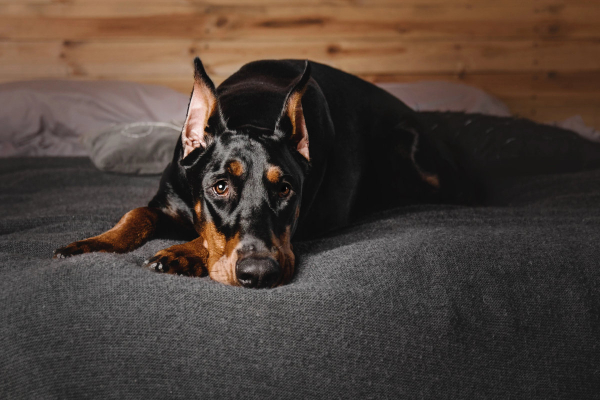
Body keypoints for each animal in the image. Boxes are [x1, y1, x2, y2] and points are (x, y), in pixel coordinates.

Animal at [54, 57, 600, 288]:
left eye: (287, 190)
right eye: (219, 185)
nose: (260, 275)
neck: (254, 108)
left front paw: (182, 252)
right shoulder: (170, 193)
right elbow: (135, 215)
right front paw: (92, 243)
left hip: (422, 156)